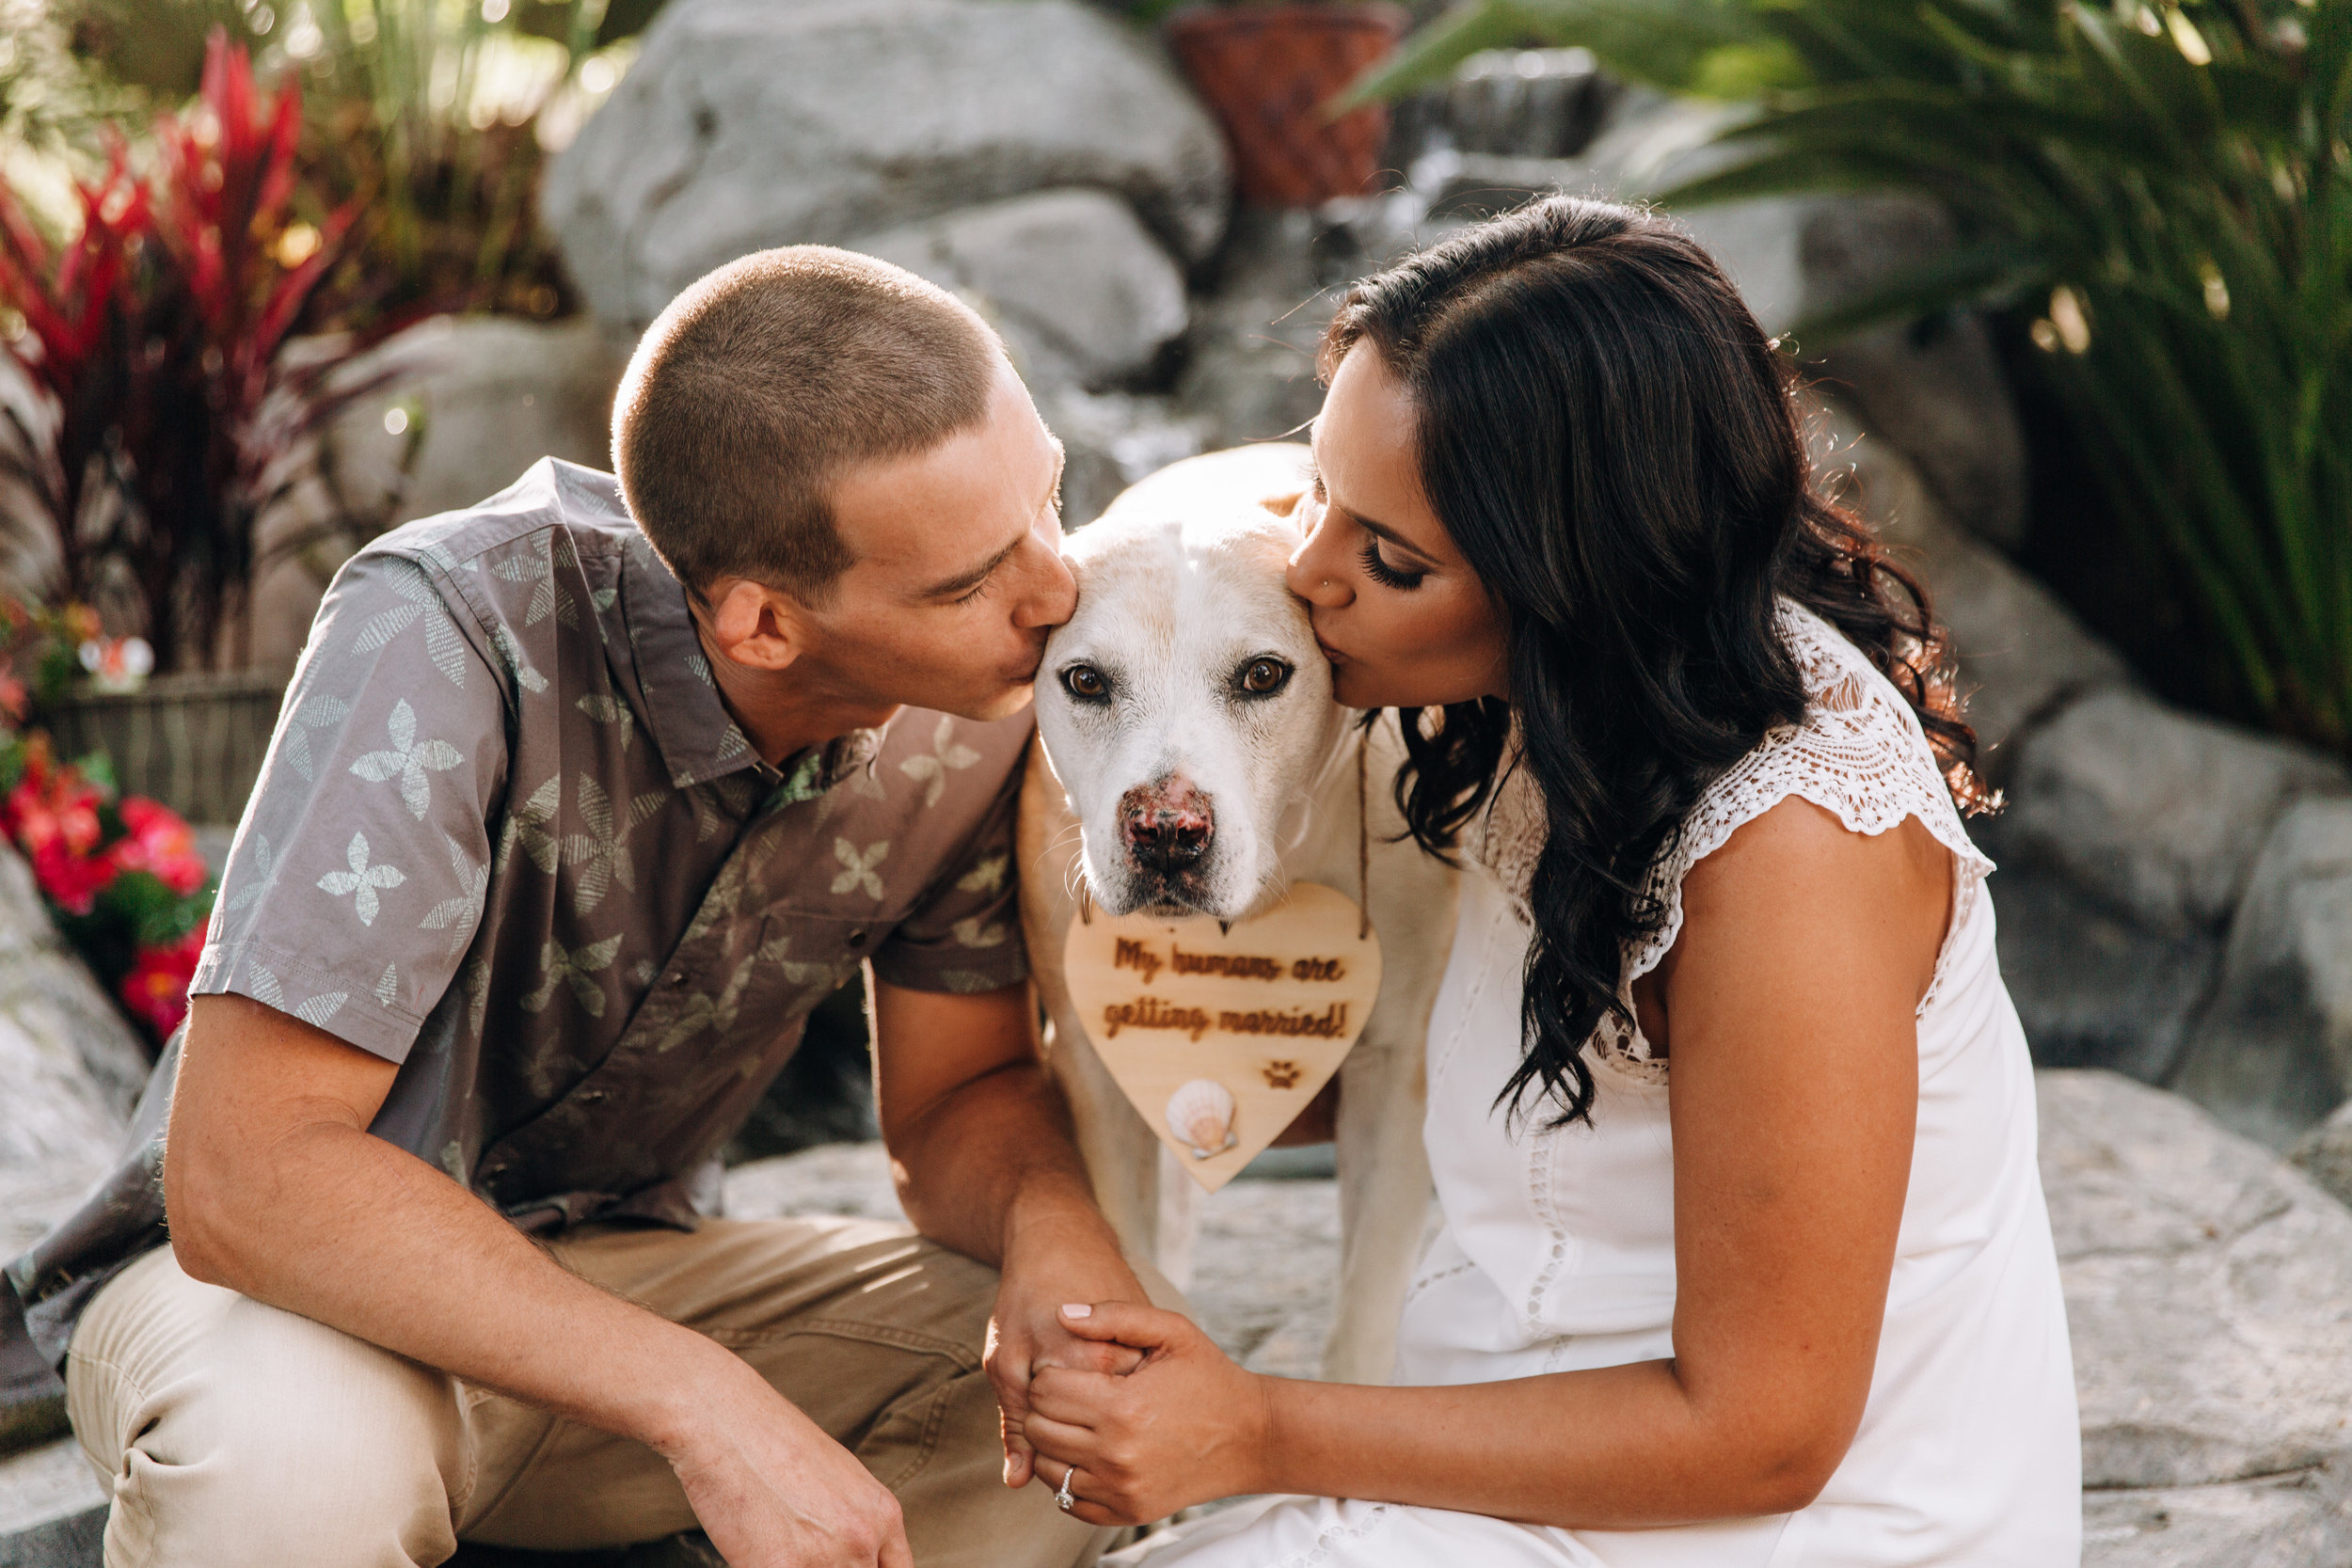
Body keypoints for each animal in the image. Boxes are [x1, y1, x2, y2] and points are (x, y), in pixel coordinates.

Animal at [1021, 444, 1458, 1382]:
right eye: (1086, 680)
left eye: (1263, 675)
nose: (1166, 834)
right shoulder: (1100, 1075)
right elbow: (1125, 1257)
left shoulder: (1393, 1080)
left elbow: (1360, 1324)